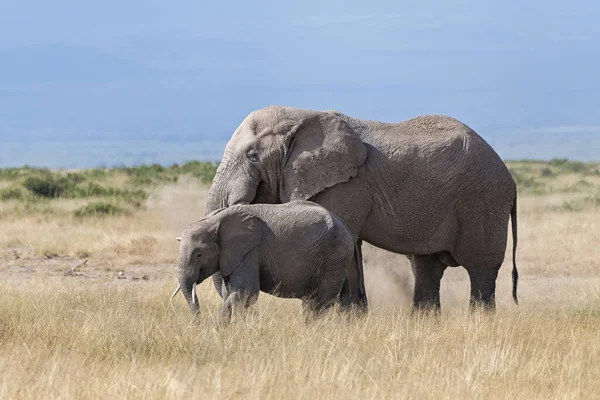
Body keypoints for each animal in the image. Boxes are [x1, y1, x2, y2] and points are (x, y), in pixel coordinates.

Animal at [169, 200, 366, 322]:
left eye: (198, 254)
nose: (197, 322)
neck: (214, 221)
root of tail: (347, 228)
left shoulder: (250, 251)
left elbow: (245, 293)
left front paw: (213, 329)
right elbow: (230, 294)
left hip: (334, 255)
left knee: (319, 301)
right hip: (338, 257)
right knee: (336, 299)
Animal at [204, 105, 516, 310]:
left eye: (253, 155)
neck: (303, 115)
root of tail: (510, 179)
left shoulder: (345, 186)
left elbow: (346, 238)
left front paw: (347, 317)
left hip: (484, 202)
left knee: (481, 269)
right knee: (426, 268)